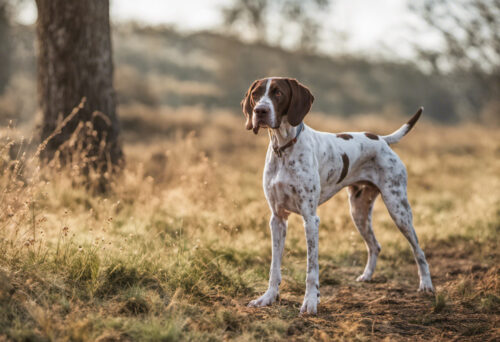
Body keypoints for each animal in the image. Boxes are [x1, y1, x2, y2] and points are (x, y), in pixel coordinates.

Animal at [242, 77, 434, 316]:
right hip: (358, 211)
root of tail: (381, 139)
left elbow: (311, 269)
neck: (284, 149)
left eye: (278, 93)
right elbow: (274, 267)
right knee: (375, 245)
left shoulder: (310, 220)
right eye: (256, 94)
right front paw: (268, 298)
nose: (260, 111)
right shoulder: (277, 219)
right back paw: (367, 276)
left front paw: (310, 302)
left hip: (398, 209)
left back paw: (426, 285)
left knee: (418, 250)